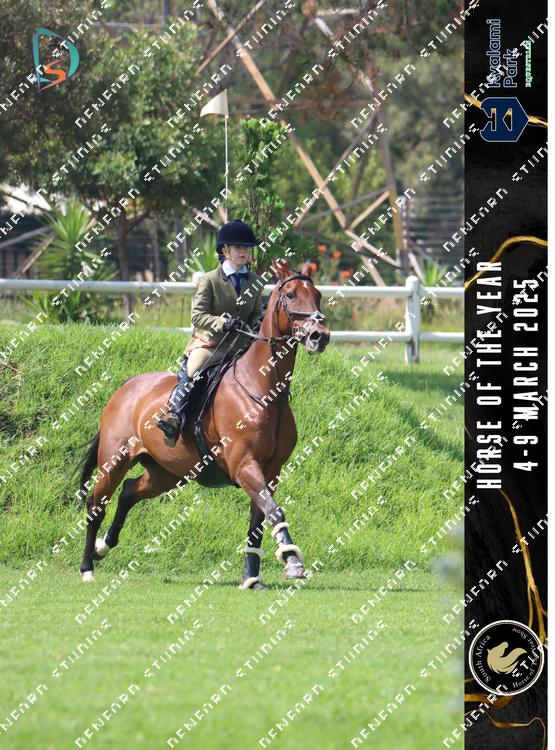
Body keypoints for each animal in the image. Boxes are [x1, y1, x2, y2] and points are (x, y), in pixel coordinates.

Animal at [77, 260, 330, 589]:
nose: (320, 336)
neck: (264, 391)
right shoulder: (245, 465)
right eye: (289, 295)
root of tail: (126, 387)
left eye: (318, 294)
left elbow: (258, 522)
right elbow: (274, 511)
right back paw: (87, 567)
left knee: (130, 491)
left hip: (166, 473)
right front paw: (292, 561)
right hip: (114, 460)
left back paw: (103, 547)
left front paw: (252, 578)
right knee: (96, 505)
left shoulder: (269, 472)